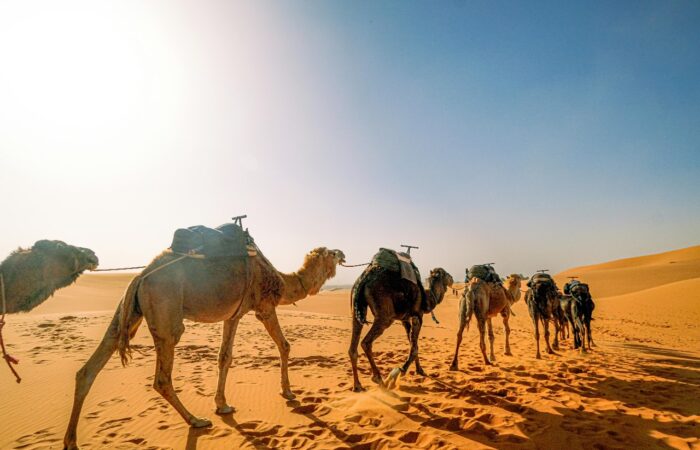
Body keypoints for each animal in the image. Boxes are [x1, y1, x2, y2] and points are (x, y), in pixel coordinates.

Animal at [63, 243, 345, 450]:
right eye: (331, 252)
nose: (343, 253)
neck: (282, 281)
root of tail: (141, 276)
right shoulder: (263, 307)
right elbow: (285, 346)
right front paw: (288, 392)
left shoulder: (233, 314)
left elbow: (224, 356)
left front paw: (222, 404)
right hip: (166, 314)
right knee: (162, 377)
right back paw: (195, 420)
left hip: (127, 311)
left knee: (89, 369)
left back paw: (71, 441)